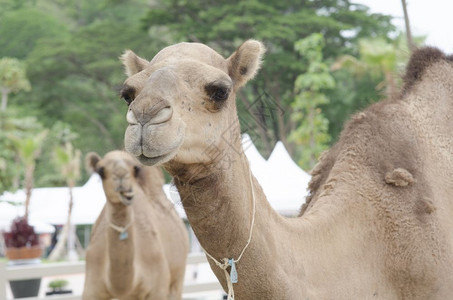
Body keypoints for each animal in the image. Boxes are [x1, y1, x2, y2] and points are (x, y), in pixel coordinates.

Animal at [82, 151, 188, 298]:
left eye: (136, 168)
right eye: (100, 170)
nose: (121, 176)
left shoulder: (158, 287)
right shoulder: (91, 286)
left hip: (178, 276)